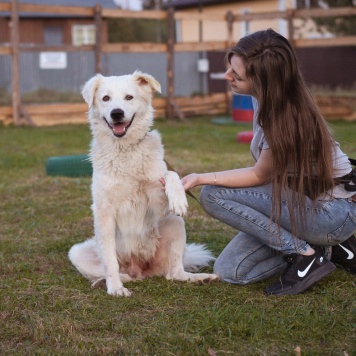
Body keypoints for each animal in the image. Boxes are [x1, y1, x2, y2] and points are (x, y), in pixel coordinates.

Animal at [68, 71, 218, 296]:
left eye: (129, 97)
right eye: (106, 98)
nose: (117, 113)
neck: (125, 151)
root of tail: (141, 269)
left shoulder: (157, 203)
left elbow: (171, 173)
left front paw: (178, 198)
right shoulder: (104, 212)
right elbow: (110, 262)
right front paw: (115, 289)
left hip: (175, 223)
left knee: (174, 274)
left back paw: (201, 278)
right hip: (78, 252)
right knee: (124, 274)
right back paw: (105, 282)